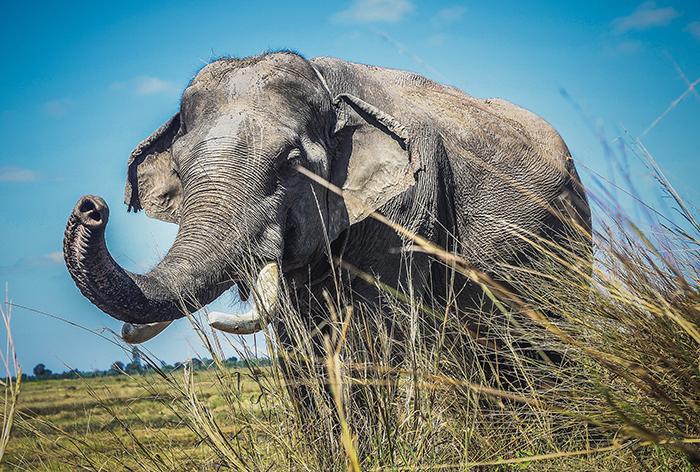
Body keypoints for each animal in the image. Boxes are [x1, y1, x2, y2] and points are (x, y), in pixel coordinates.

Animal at [63, 51, 590, 378]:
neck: (326, 84)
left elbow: (375, 335)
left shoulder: (406, 211)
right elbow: (297, 344)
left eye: (290, 164)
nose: (92, 207)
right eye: (179, 166)